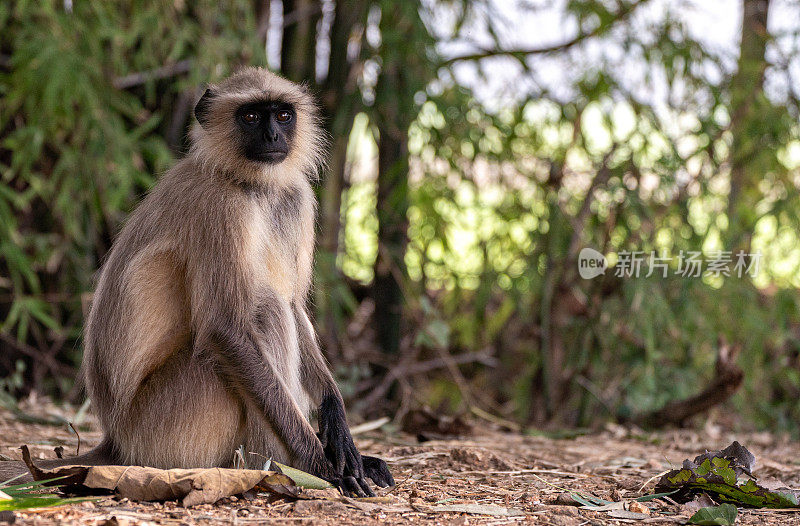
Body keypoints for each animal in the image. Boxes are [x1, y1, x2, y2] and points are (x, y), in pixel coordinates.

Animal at [0, 67, 394, 500]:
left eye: (283, 115)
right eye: (251, 117)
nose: (274, 136)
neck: (250, 185)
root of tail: (116, 439)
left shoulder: (297, 197)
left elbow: (293, 303)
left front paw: (337, 427)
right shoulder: (219, 205)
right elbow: (227, 328)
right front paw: (320, 463)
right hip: (167, 424)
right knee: (265, 311)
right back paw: (280, 468)